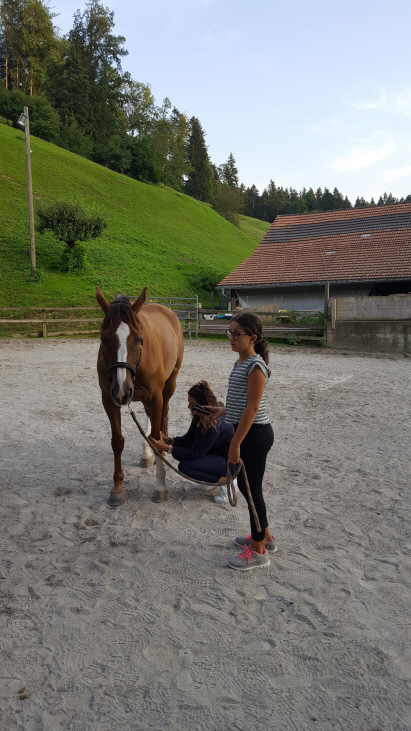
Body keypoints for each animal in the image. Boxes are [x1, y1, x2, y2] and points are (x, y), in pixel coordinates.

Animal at [96, 287, 184, 505]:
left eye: (139, 339)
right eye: (103, 338)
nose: (121, 389)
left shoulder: (156, 397)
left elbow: (156, 437)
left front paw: (161, 487)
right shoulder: (108, 399)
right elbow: (117, 441)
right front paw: (117, 488)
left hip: (168, 386)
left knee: (163, 416)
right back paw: (146, 455)